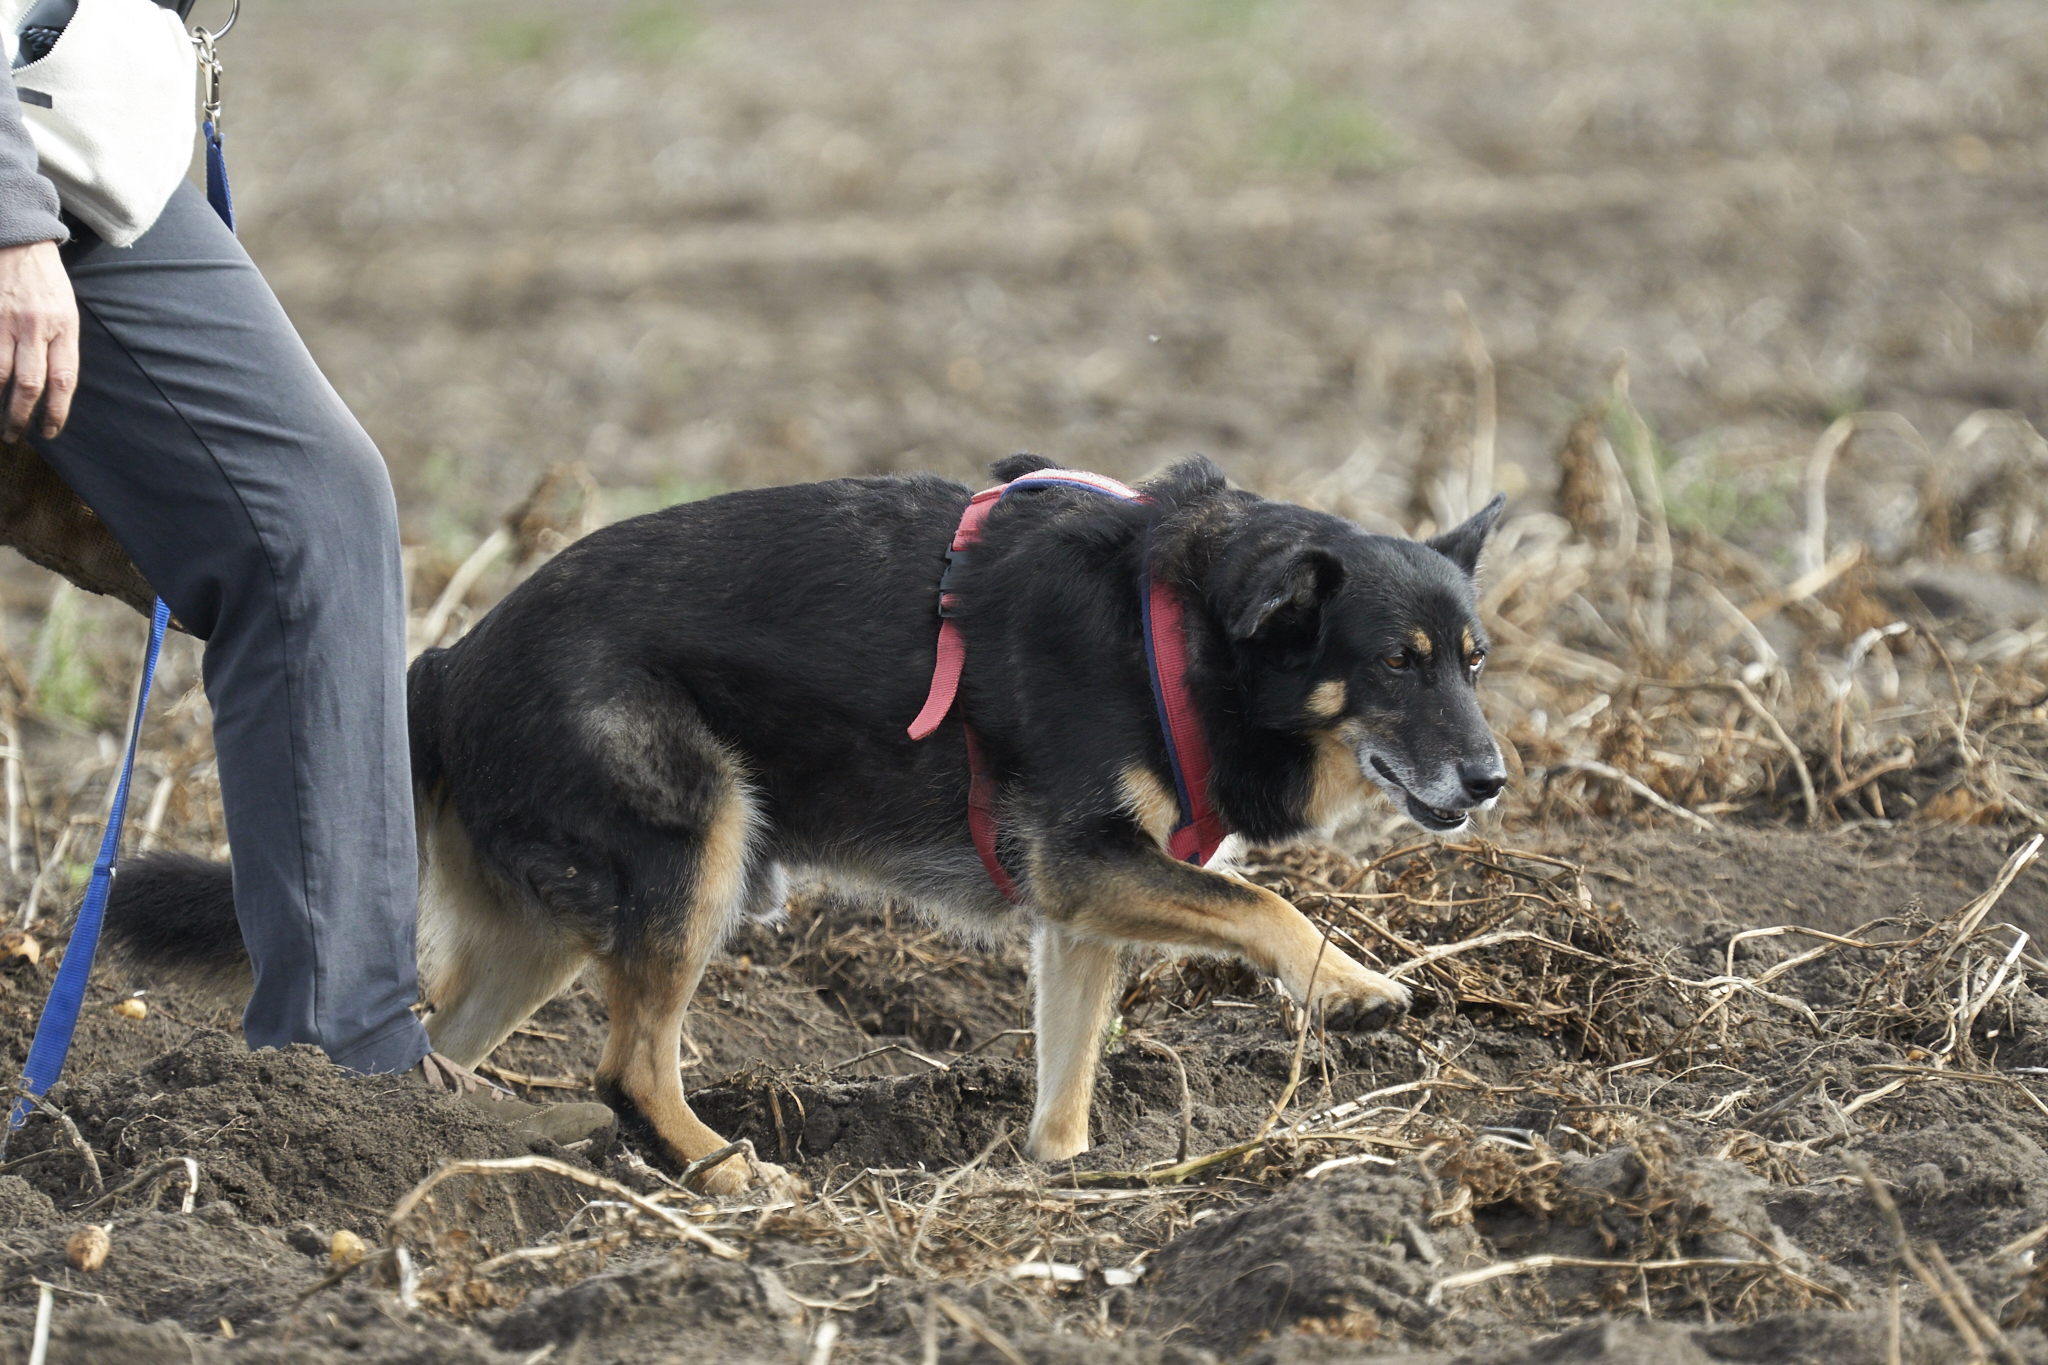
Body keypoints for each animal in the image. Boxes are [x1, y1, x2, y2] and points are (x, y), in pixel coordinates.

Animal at [105, 454, 1506, 1194]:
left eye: (1474, 661)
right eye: (1395, 663)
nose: (1493, 779)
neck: (1185, 628)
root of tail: (447, 663)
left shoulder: (1080, 909)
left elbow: (1068, 1068)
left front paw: (1057, 1177)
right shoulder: (1085, 865)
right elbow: (1263, 901)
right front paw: (1354, 987)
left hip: (547, 926)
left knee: (440, 1034)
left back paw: (436, 1151)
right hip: (697, 852)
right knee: (628, 1066)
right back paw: (725, 1174)